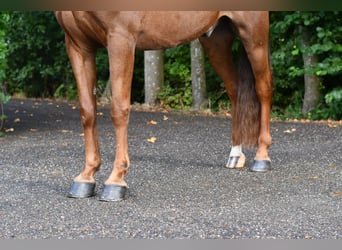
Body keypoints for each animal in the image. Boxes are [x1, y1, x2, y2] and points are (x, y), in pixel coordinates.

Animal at [55, 11, 272, 202]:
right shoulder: (78, 45)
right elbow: (87, 111)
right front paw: (86, 177)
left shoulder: (120, 39)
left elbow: (119, 110)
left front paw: (116, 181)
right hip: (216, 41)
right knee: (235, 90)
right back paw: (235, 154)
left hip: (254, 35)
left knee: (264, 89)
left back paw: (262, 158)